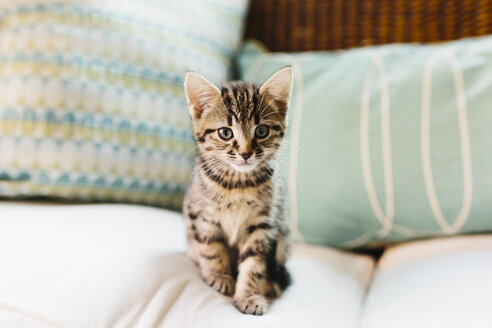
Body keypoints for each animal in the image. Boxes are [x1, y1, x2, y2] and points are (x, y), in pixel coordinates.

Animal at [184, 67, 292, 316]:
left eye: (261, 131)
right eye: (225, 133)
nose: (245, 153)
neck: (238, 184)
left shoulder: (263, 225)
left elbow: (253, 264)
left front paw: (248, 295)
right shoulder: (202, 216)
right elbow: (211, 249)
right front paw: (219, 276)